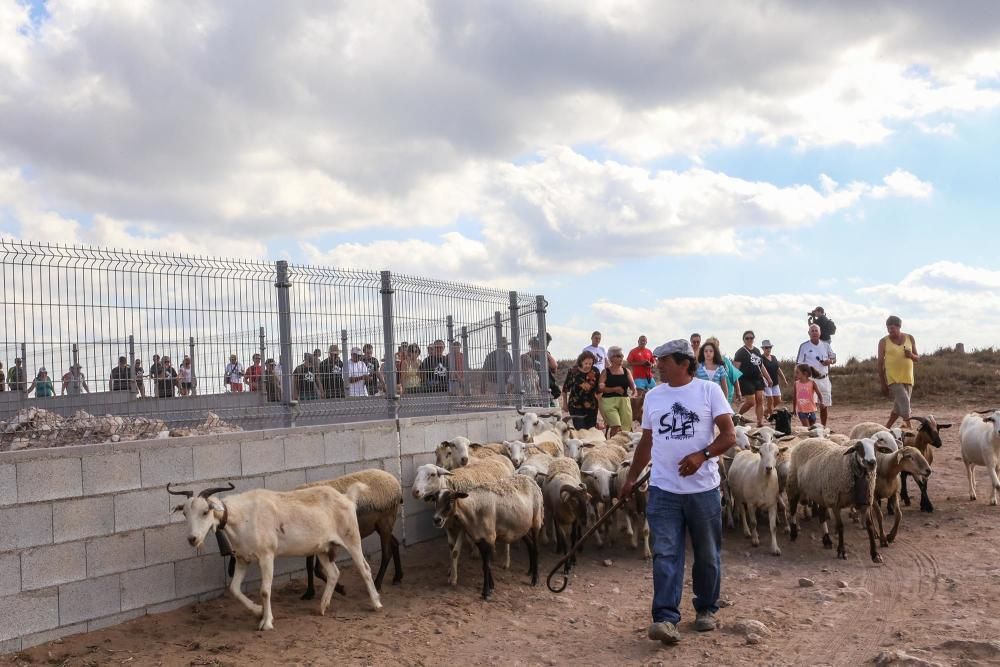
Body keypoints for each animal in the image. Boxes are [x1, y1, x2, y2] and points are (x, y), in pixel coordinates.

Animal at [168, 482, 378, 628]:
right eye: (185, 513)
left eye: (205, 511)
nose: (192, 539)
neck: (244, 516)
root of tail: (347, 497)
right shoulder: (242, 559)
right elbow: (234, 589)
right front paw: (257, 611)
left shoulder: (266, 556)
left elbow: (264, 590)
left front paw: (267, 622)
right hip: (323, 549)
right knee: (334, 573)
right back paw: (323, 607)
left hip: (352, 539)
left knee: (365, 569)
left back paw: (376, 603)